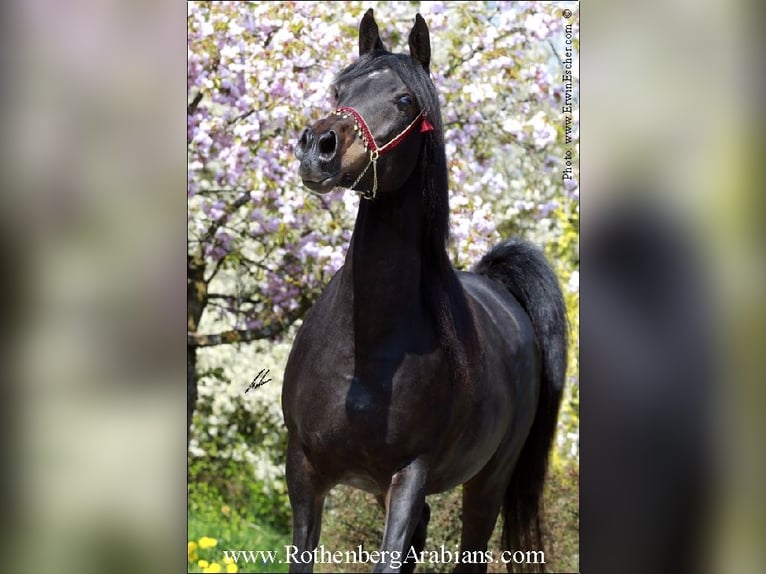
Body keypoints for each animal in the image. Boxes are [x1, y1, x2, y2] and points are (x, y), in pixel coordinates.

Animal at [280, 10, 568, 574]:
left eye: (404, 101)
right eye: (339, 88)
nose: (318, 148)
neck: (365, 351)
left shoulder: (408, 476)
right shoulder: (303, 469)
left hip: (487, 484)